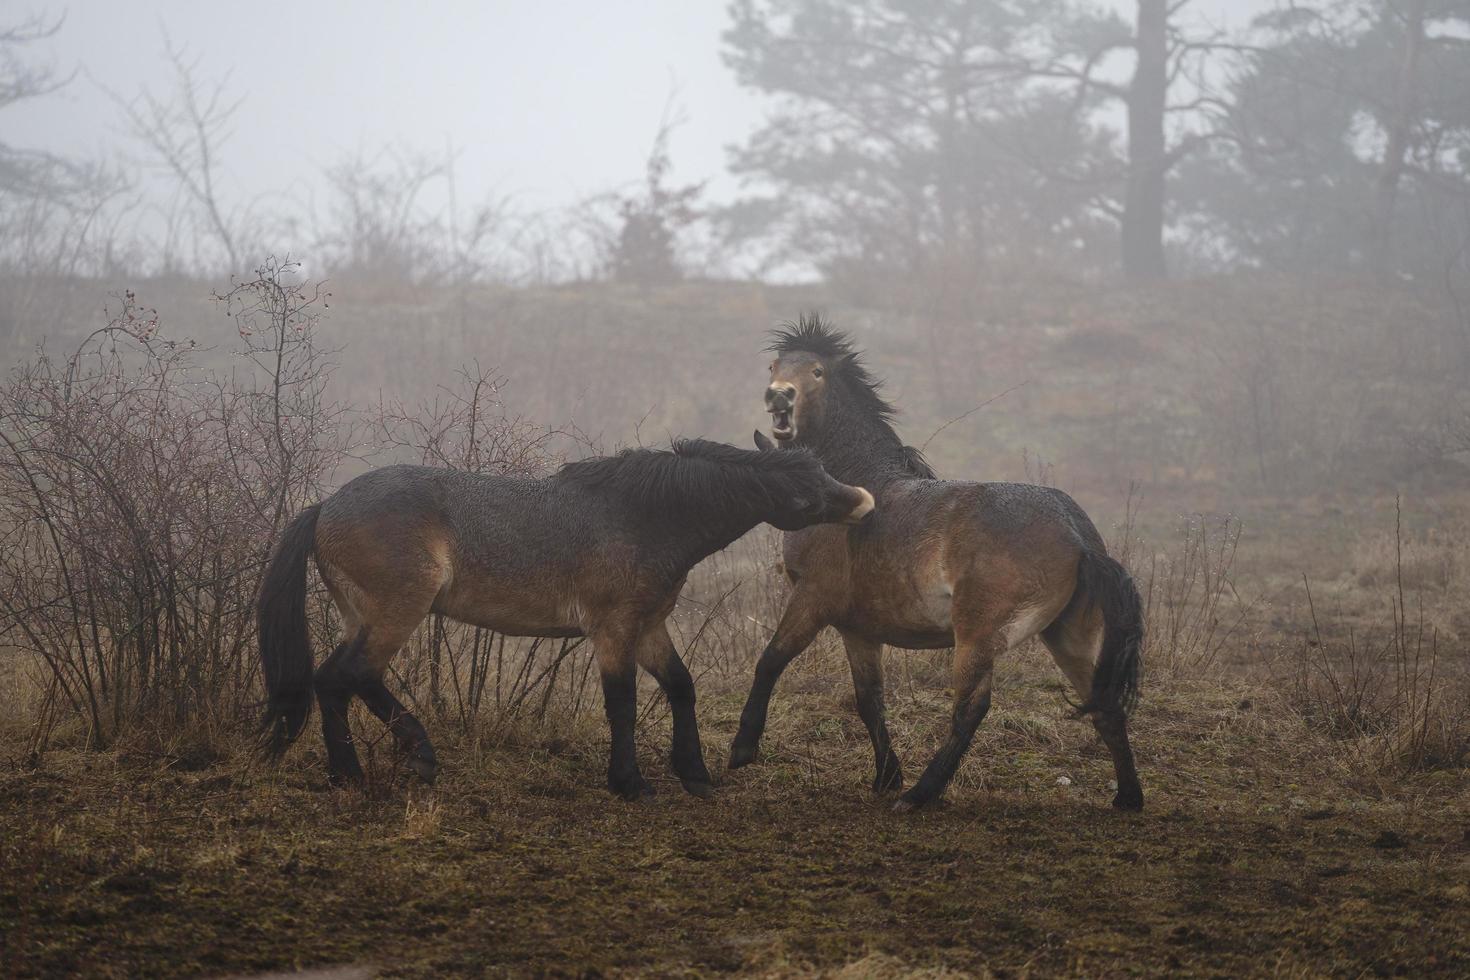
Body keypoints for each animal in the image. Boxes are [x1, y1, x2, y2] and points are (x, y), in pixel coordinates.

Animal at [257, 440, 870, 799]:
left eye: (820, 467)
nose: (862, 501)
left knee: (331, 681)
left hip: (360, 618)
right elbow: (622, 704)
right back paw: (418, 757)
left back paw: (346, 773)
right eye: (800, 492)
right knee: (355, 676)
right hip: (396, 612)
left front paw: (693, 772)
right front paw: (629, 782)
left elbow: (680, 687)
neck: (645, 517)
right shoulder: (613, 630)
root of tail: (326, 507)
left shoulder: (649, 626)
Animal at [729, 315, 1140, 811]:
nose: (778, 396)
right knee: (1106, 704)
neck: (854, 490)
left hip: (978, 636)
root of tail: (1078, 535)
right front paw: (886, 776)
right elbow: (869, 699)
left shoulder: (811, 599)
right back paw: (1128, 798)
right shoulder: (858, 628)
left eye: (817, 372)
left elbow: (770, 661)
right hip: (1068, 636)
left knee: (971, 708)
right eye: (774, 365)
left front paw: (741, 751)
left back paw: (920, 794)